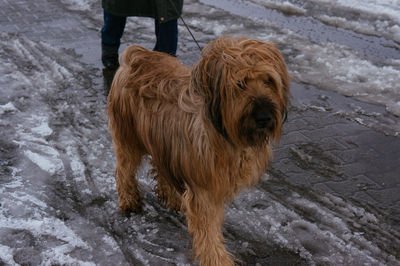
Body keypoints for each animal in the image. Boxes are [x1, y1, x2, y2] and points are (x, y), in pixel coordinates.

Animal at [108, 36, 290, 264]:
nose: (264, 117)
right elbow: (208, 232)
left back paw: (171, 197)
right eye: (240, 84)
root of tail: (137, 56)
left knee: (160, 167)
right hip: (128, 135)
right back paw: (129, 201)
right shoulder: (204, 190)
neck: (224, 132)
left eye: (269, 81)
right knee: (124, 169)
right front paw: (218, 260)